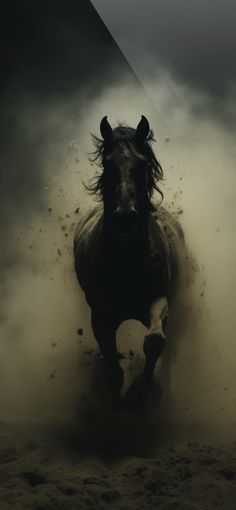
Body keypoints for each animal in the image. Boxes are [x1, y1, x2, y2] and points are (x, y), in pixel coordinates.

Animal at [74, 115, 185, 410]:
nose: (125, 219)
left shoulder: (159, 298)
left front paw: (141, 392)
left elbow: (155, 341)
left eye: (143, 164)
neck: (127, 262)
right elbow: (113, 371)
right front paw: (116, 405)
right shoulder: (101, 316)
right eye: (107, 163)